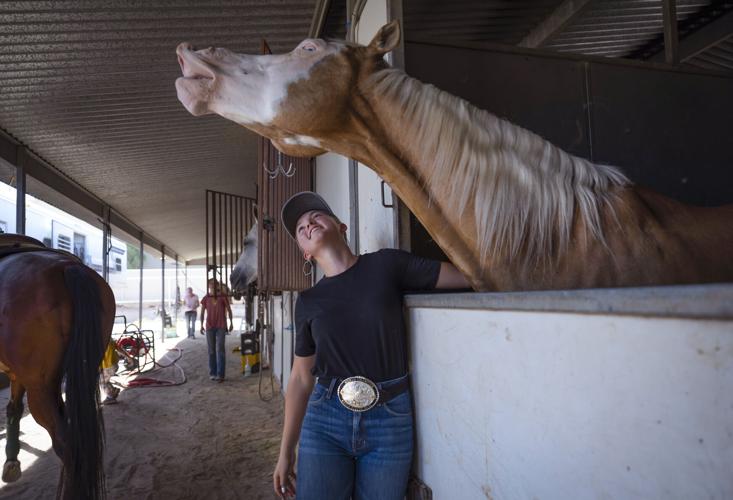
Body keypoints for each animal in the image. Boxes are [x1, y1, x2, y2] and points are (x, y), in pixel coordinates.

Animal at [0, 232, 114, 498]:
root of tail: (70, 268)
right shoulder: (17, 375)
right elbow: (13, 408)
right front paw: (11, 463)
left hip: (41, 388)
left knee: (66, 444)